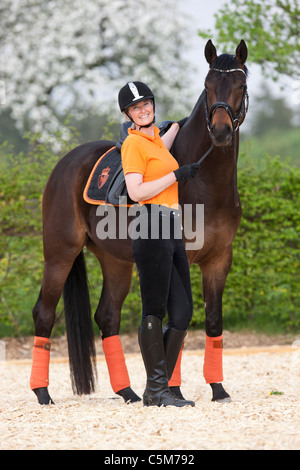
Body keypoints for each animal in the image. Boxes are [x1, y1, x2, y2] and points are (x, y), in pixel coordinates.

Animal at [31, 40, 250, 406]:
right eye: (207, 86)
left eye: (241, 85)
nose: (220, 131)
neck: (207, 182)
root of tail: (66, 162)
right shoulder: (182, 258)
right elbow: (177, 320)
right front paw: (174, 391)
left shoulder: (220, 260)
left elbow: (213, 322)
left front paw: (218, 390)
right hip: (59, 255)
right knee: (44, 314)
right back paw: (43, 393)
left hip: (115, 261)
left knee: (107, 317)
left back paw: (128, 392)